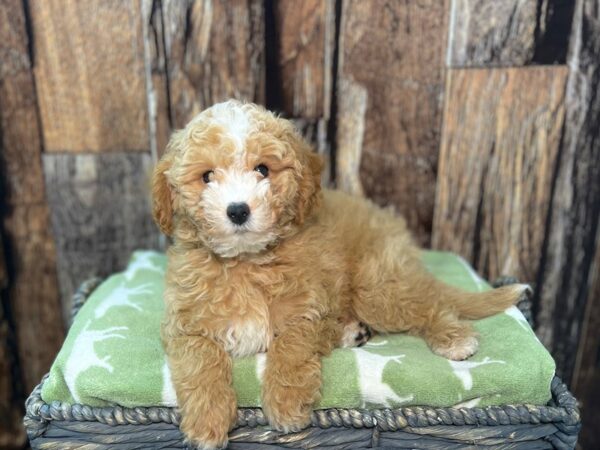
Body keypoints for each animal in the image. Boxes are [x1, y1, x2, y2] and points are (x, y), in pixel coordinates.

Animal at [152, 100, 528, 448]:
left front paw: (286, 404)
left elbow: (290, 347)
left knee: (429, 304)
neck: (245, 261)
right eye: (207, 176)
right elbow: (200, 360)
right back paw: (353, 332)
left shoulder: (306, 310)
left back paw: (453, 338)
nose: (238, 210)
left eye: (262, 169)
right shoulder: (185, 323)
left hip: (376, 287)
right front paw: (207, 421)